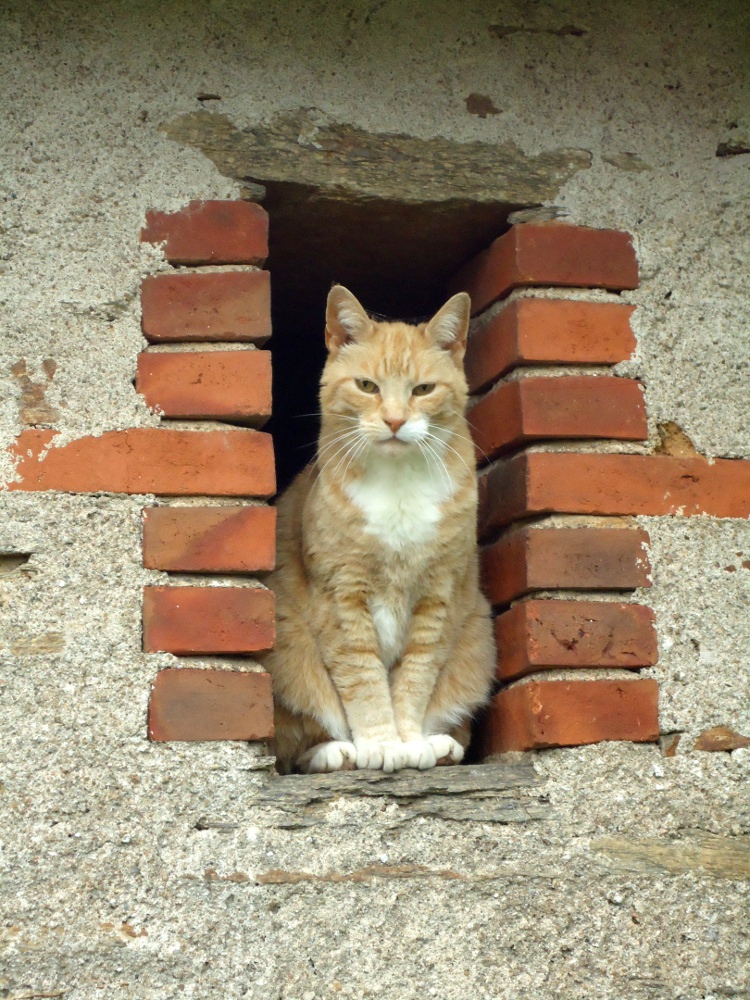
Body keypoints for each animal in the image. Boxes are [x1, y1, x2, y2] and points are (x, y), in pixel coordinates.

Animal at [262, 286, 496, 776]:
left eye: (423, 389)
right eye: (367, 386)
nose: (393, 421)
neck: (398, 484)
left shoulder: (437, 597)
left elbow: (415, 676)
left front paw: (409, 743)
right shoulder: (341, 597)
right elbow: (363, 677)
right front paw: (381, 744)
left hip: (477, 638)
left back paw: (440, 745)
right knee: (292, 747)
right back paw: (336, 753)